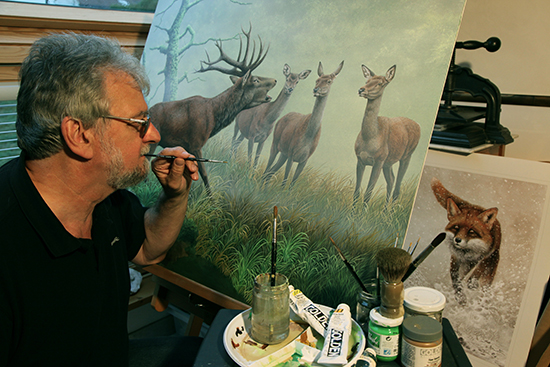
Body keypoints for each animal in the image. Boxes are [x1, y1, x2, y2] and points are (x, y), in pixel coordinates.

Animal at [149, 26, 278, 194]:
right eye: (255, 80)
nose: (275, 80)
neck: (214, 117)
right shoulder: (196, 143)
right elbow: (204, 173)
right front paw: (210, 197)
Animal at [354, 64, 422, 206]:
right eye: (367, 81)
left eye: (380, 83)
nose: (361, 89)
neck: (370, 138)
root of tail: (418, 125)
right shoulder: (360, 159)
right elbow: (356, 192)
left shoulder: (378, 161)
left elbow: (368, 193)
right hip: (388, 162)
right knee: (391, 180)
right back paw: (385, 210)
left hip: (406, 156)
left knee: (397, 187)